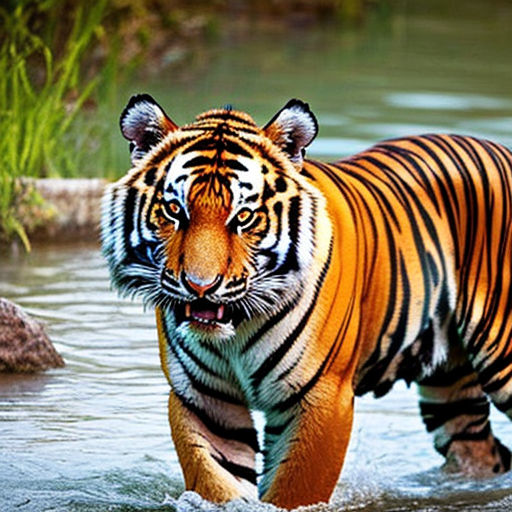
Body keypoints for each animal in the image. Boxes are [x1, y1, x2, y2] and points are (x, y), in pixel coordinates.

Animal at [100, 95, 512, 508]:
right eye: (175, 211)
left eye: (244, 217)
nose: (200, 287)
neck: (236, 327)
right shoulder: (203, 399)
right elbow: (218, 481)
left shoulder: (322, 396)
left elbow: (295, 490)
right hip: (450, 386)